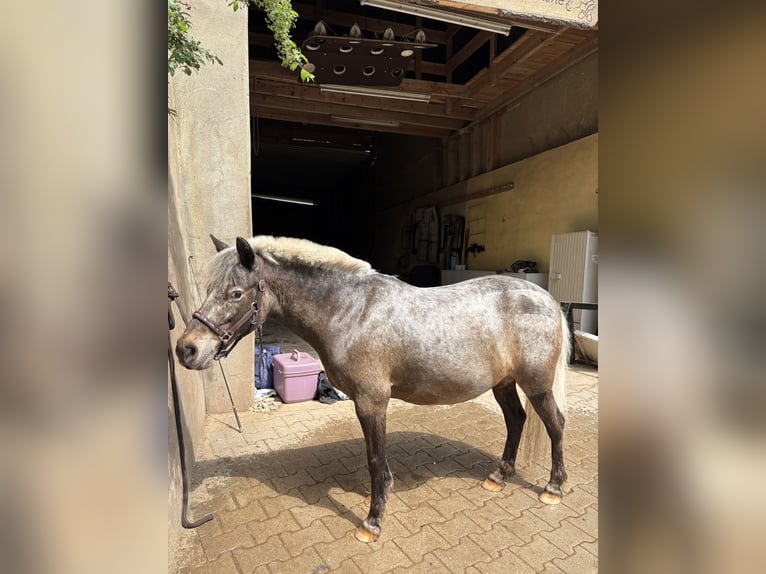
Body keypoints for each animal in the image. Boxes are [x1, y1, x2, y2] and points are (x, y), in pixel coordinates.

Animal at [176, 235, 570, 543]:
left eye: (235, 293)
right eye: (210, 290)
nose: (187, 350)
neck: (352, 312)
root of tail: (546, 298)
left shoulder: (371, 402)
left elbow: (375, 460)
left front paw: (373, 521)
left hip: (536, 385)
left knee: (555, 425)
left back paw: (553, 488)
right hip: (504, 383)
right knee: (516, 420)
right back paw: (499, 477)